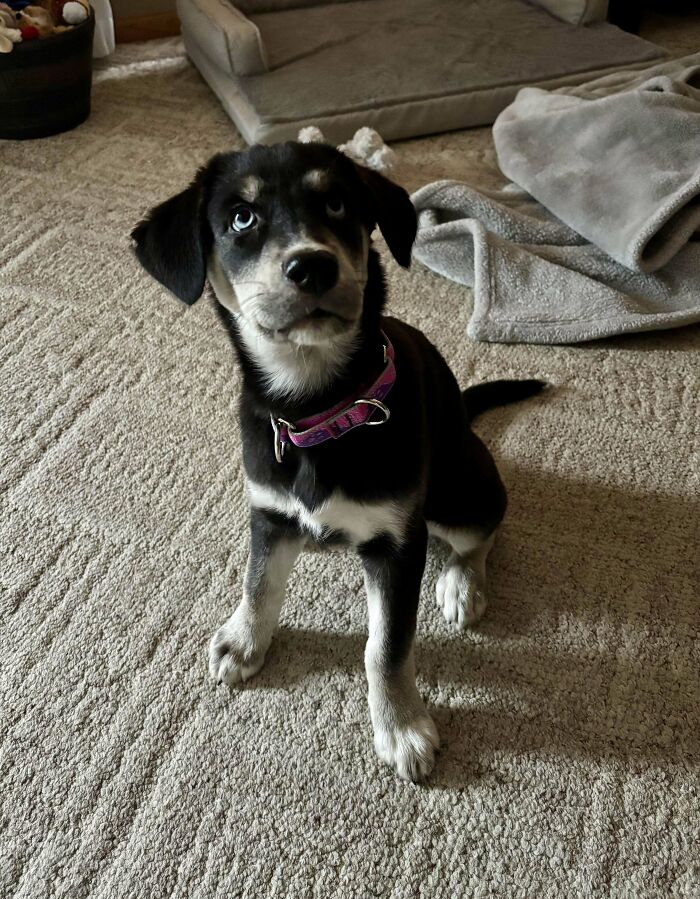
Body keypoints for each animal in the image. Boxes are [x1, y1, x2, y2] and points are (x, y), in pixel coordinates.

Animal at [134, 141, 544, 780]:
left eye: (335, 203)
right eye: (241, 218)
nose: (312, 267)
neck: (318, 408)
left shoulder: (398, 544)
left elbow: (386, 646)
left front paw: (401, 727)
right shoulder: (270, 513)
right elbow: (258, 582)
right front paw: (244, 640)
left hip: (457, 490)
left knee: (485, 530)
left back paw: (462, 584)